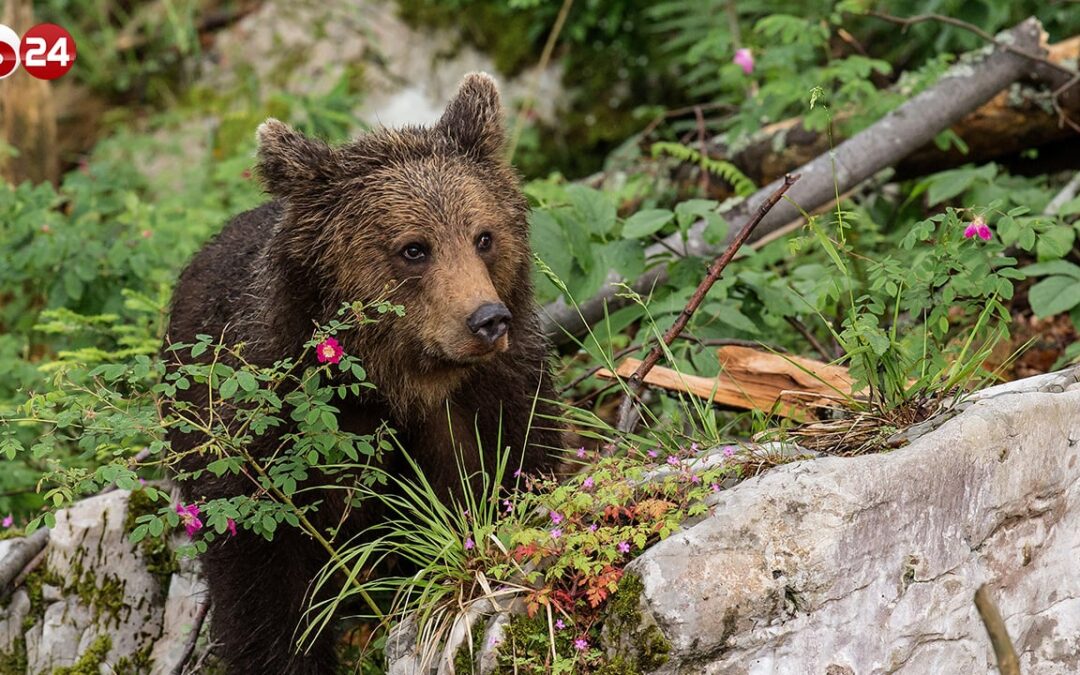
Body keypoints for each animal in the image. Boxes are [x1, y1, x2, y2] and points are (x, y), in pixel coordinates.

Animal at [164, 73, 565, 673]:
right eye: (414, 248)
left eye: (484, 236)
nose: (488, 319)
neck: (394, 381)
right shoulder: (275, 437)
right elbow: (264, 582)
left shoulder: (494, 401)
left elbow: (508, 475)